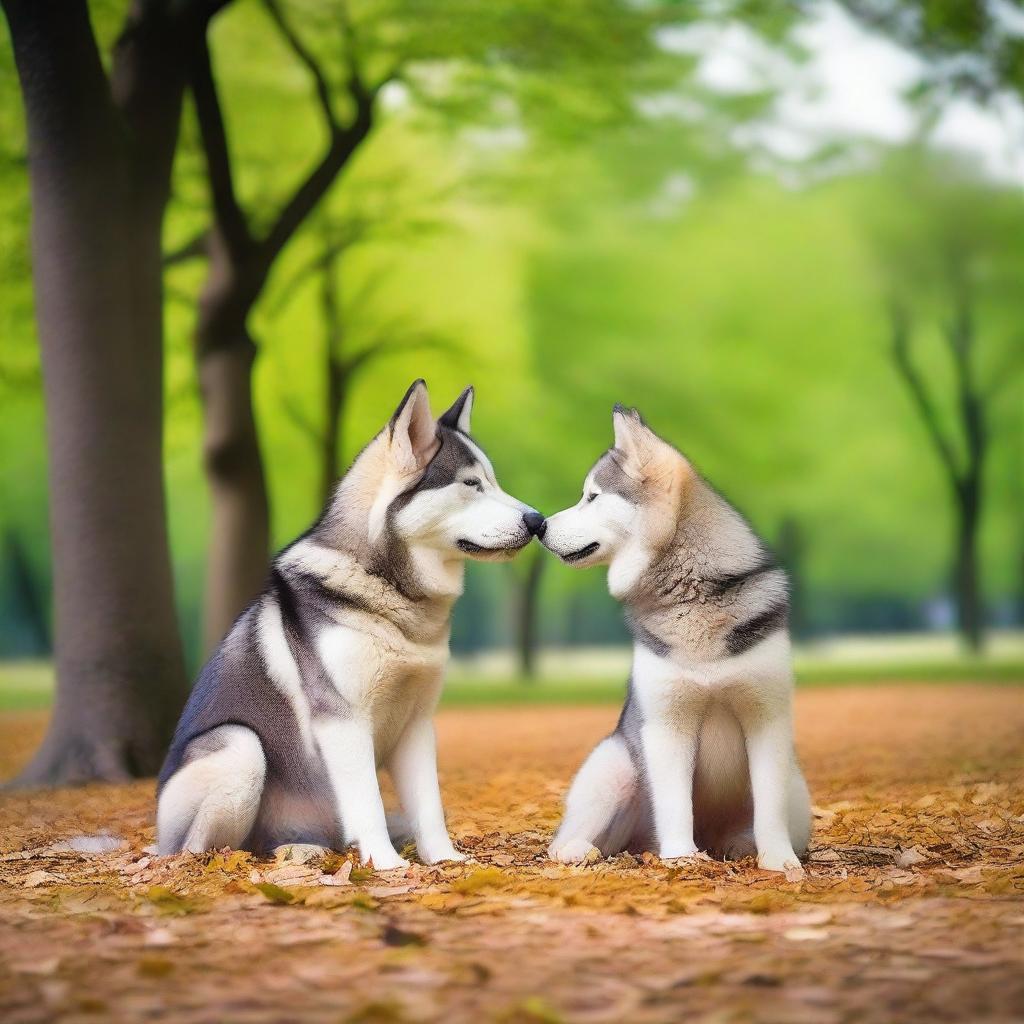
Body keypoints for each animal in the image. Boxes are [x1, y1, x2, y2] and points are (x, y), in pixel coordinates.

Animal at [158, 380, 544, 868]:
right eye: (471, 484)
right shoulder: (344, 722)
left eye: (493, 481)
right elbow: (368, 801)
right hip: (240, 747)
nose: (538, 520)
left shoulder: (417, 723)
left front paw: (443, 859)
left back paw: (301, 847)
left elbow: (430, 805)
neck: (394, 595)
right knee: (203, 847)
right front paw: (386, 865)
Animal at [540, 405, 811, 872]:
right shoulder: (667, 725)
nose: (537, 525)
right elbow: (674, 804)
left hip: (797, 786)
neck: (692, 588)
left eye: (592, 496)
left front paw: (778, 860)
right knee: (571, 840)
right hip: (613, 765)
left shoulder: (766, 719)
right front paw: (682, 857)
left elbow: (769, 807)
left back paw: (743, 845)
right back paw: (579, 849)